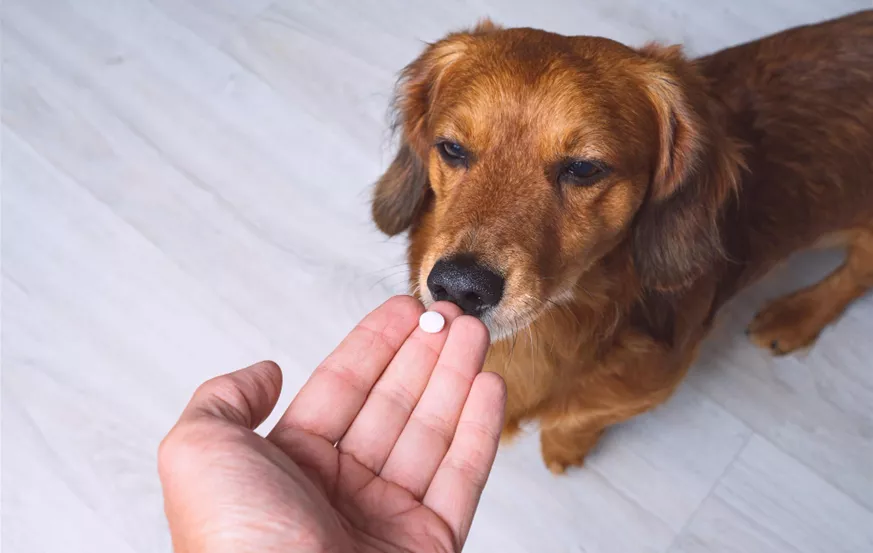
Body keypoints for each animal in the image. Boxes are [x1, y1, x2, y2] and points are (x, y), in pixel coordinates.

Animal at [370, 10, 872, 472]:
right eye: (451, 148)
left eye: (583, 168)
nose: (458, 286)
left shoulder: (653, 385)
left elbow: (577, 417)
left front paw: (564, 450)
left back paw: (797, 315)